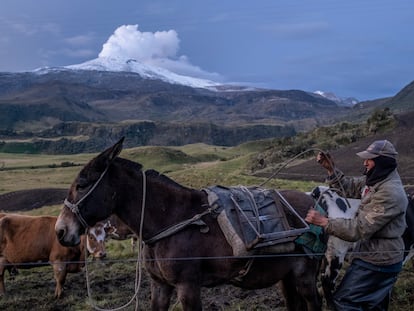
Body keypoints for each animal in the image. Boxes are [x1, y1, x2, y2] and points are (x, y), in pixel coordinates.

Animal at [54, 140, 320, 311]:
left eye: (82, 184)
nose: (61, 230)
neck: (170, 219)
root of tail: (314, 202)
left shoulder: (188, 287)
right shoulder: (160, 286)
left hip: (305, 277)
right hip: (286, 277)